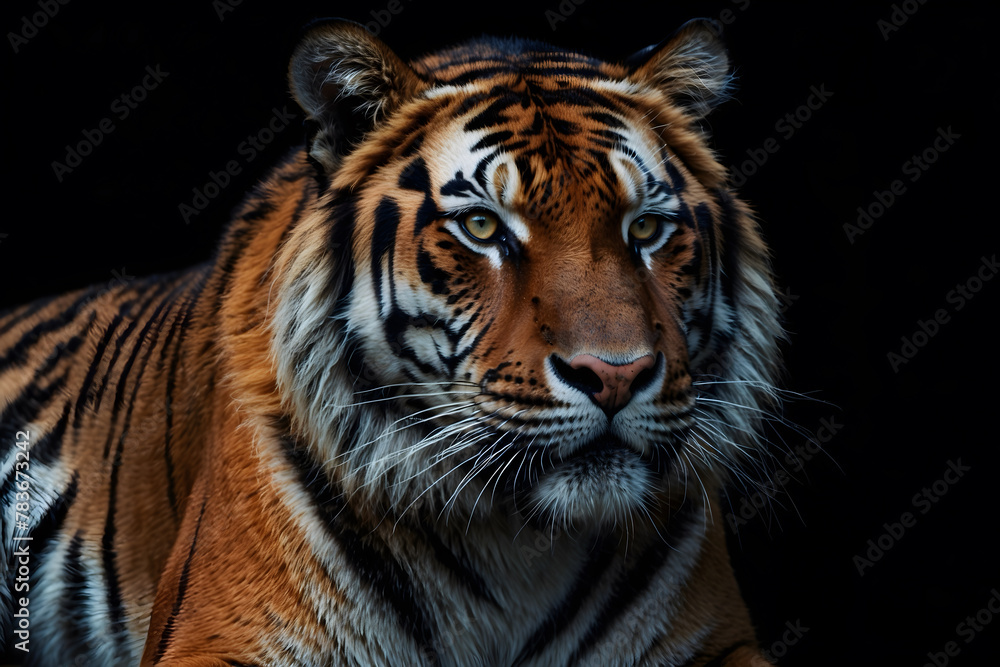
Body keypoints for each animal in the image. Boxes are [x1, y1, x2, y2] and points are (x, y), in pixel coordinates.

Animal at [1, 17, 784, 667]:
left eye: (646, 228)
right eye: (482, 226)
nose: (616, 375)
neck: (519, 540)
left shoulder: (717, 639)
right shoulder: (215, 632)